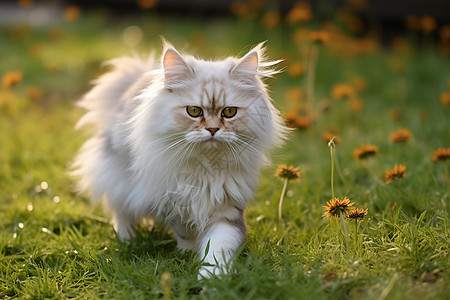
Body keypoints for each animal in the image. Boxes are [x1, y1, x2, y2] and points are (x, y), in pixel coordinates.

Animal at [72, 40, 286, 278]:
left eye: (229, 112)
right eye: (194, 111)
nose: (213, 130)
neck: (205, 167)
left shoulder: (226, 206)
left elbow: (219, 246)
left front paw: (212, 277)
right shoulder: (173, 198)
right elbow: (184, 231)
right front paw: (188, 252)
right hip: (118, 175)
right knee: (122, 209)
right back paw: (127, 238)